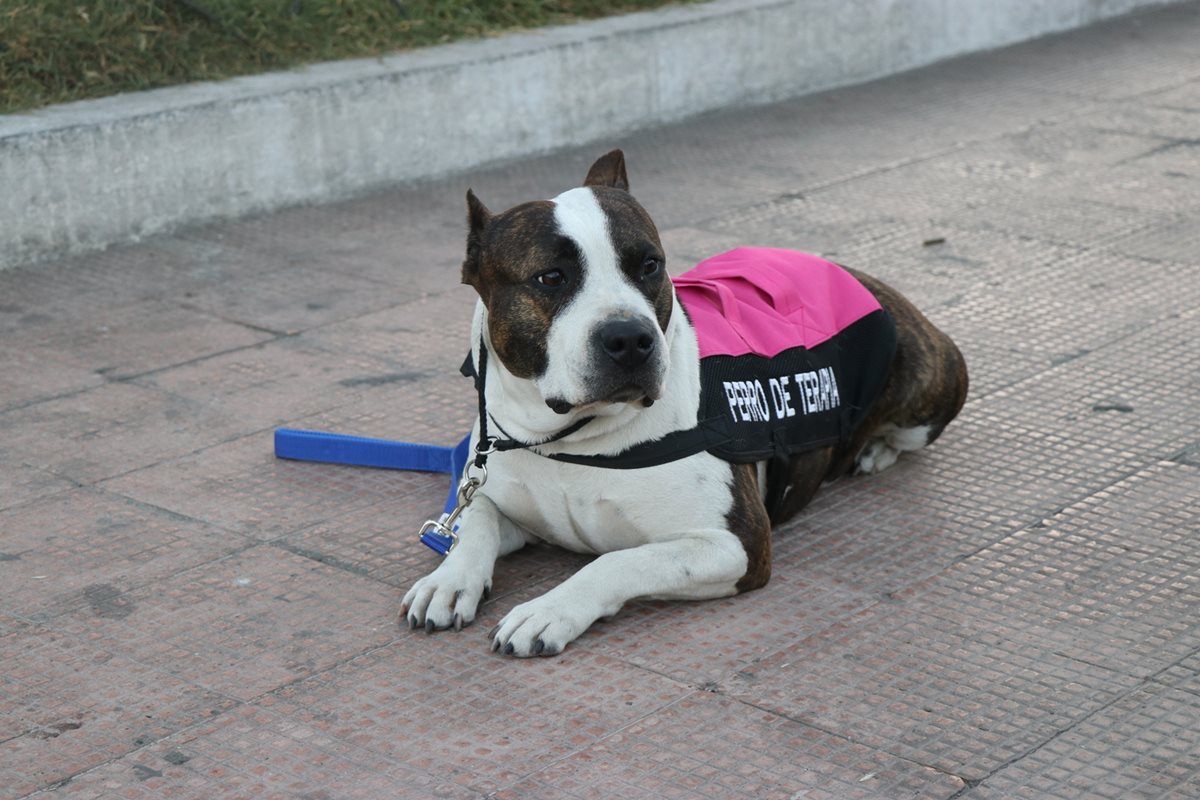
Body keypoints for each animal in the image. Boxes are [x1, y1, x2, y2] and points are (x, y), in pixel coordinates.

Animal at [398, 149, 969, 657]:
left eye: (650, 265)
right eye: (551, 277)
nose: (629, 338)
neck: (575, 437)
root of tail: (853, 271)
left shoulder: (735, 544)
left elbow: (616, 562)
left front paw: (549, 611)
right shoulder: (492, 489)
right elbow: (474, 523)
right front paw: (447, 580)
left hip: (934, 382)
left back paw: (875, 450)